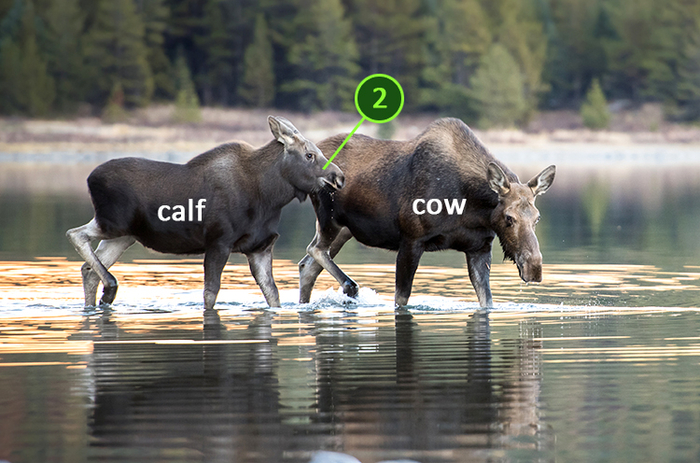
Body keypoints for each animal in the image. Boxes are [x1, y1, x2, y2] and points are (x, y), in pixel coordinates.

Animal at [66, 116, 344, 310]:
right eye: (310, 155)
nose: (339, 177)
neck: (269, 196)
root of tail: (90, 178)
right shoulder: (218, 241)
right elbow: (211, 293)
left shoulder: (260, 247)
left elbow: (273, 294)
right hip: (111, 223)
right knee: (75, 234)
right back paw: (110, 287)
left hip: (123, 235)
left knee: (88, 269)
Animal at [298, 117, 555, 307]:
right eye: (509, 218)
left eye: (537, 218)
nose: (534, 268)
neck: (472, 207)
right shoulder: (411, 240)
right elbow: (401, 300)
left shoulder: (479, 248)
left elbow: (487, 302)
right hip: (330, 218)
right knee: (314, 251)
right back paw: (350, 285)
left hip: (346, 229)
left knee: (307, 266)